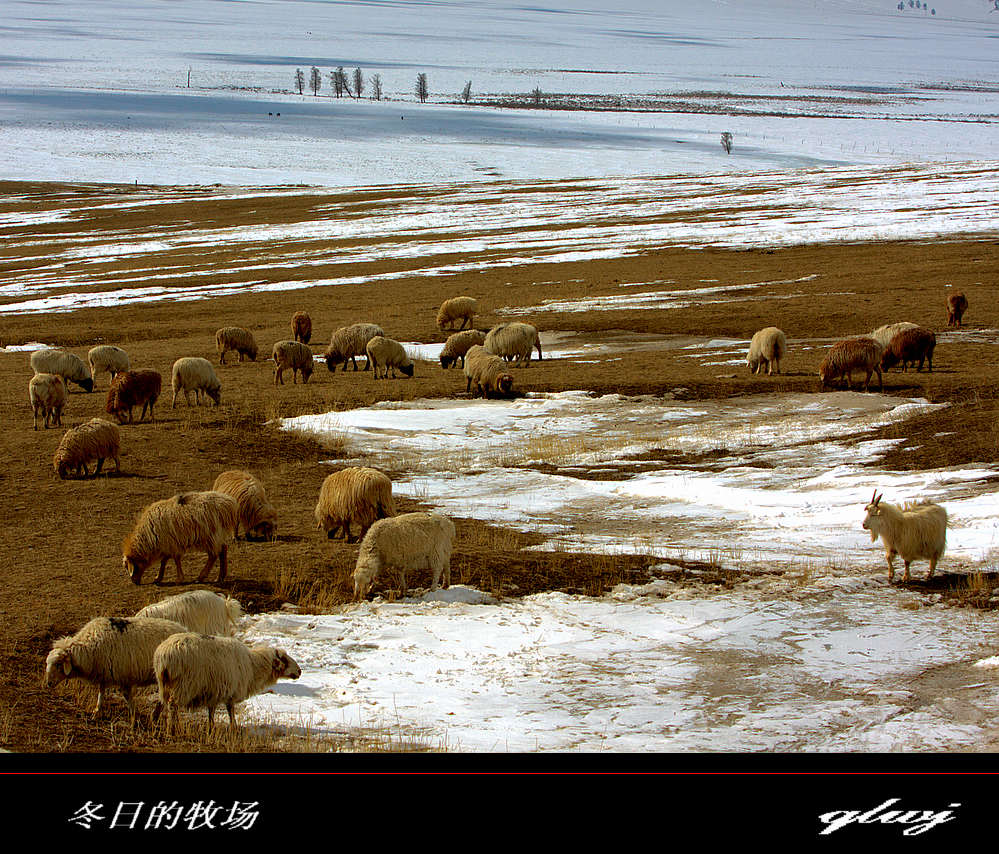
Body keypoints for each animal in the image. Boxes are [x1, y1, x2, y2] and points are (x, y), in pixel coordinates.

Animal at [43, 616, 188, 724]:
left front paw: (134, 716)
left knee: (167, 697)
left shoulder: (122, 676)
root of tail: (183, 629)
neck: (88, 649)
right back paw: (155, 715)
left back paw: (158, 716)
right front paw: (96, 712)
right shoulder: (105, 673)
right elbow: (101, 693)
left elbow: (126, 696)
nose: (48, 683)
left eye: (58, 664)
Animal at [151, 636, 300, 736]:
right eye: (284, 660)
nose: (299, 671)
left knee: (162, 702)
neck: (253, 667)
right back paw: (172, 729)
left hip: (164, 684)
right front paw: (234, 727)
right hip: (185, 684)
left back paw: (157, 721)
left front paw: (211, 728)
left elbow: (211, 711)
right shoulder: (231, 691)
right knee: (172, 705)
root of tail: (163, 656)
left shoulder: (213, 691)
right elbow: (230, 710)